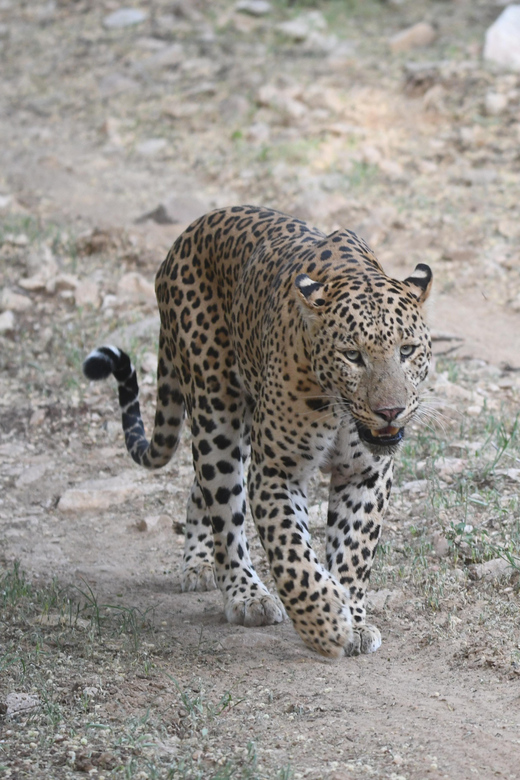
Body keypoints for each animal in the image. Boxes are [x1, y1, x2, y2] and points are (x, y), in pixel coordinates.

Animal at [83, 205, 432, 658]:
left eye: (407, 350)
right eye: (352, 355)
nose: (389, 411)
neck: (339, 409)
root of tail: (187, 234)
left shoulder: (366, 474)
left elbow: (354, 549)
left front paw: (352, 619)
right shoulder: (277, 471)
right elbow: (293, 554)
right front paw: (324, 623)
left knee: (200, 490)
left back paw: (200, 563)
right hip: (216, 413)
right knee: (223, 508)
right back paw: (245, 594)